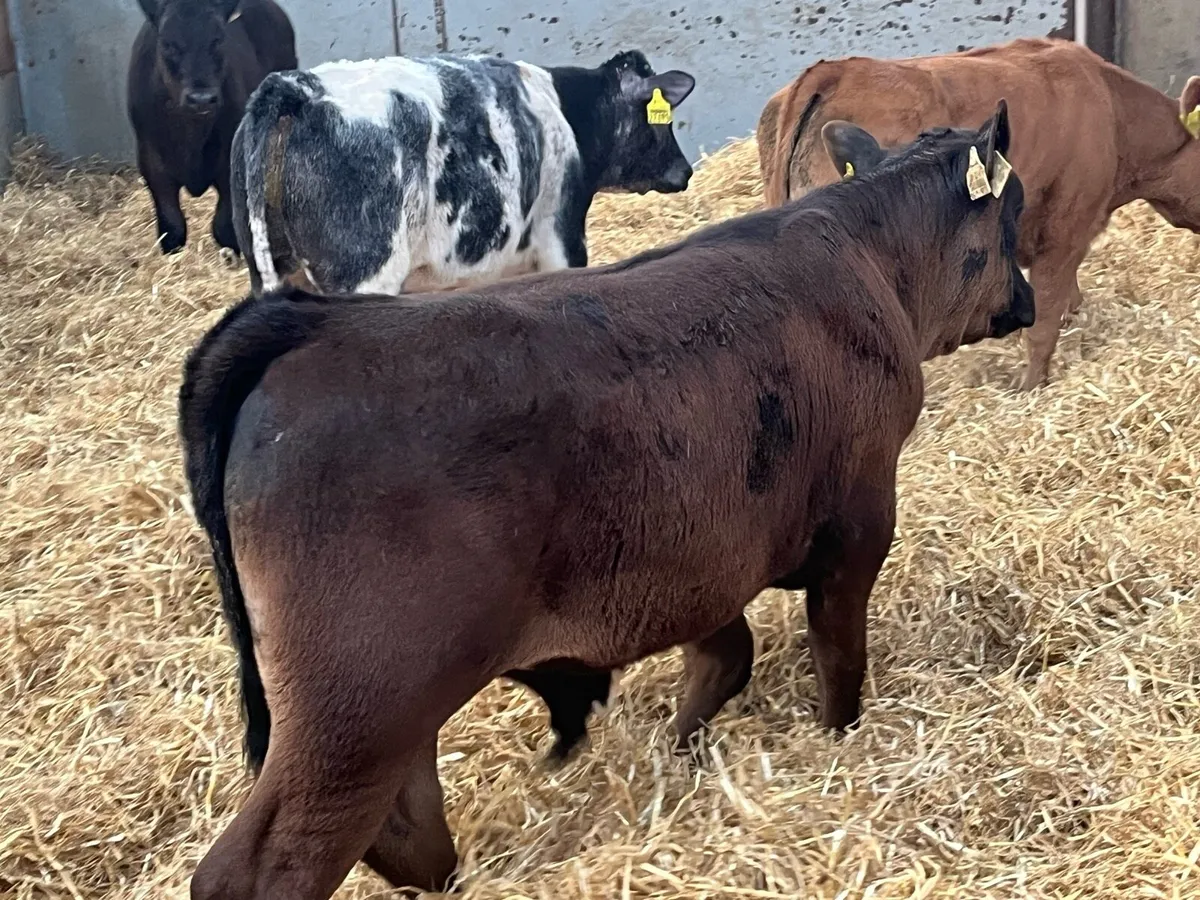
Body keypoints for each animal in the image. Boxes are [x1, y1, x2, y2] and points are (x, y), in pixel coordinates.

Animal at [127, 0, 296, 255]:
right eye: (167, 43)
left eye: (218, 40)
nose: (201, 99)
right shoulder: (151, 162)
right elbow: (172, 227)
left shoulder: (230, 161)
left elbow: (224, 227)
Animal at [180, 103, 1033, 898]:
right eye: (1013, 215)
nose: (1025, 300)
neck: (866, 256)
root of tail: (307, 324)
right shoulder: (858, 526)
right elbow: (838, 659)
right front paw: (838, 743)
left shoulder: (706, 558)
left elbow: (725, 657)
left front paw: (681, 754)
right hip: (357, 714)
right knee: (265, 866)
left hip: (387, 720)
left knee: (409, 830)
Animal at [230, 50, 697, 297]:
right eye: (662, 119)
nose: (685, 170)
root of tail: (296, 88)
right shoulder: (561, 243)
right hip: (365, 275)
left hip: (270, 271)